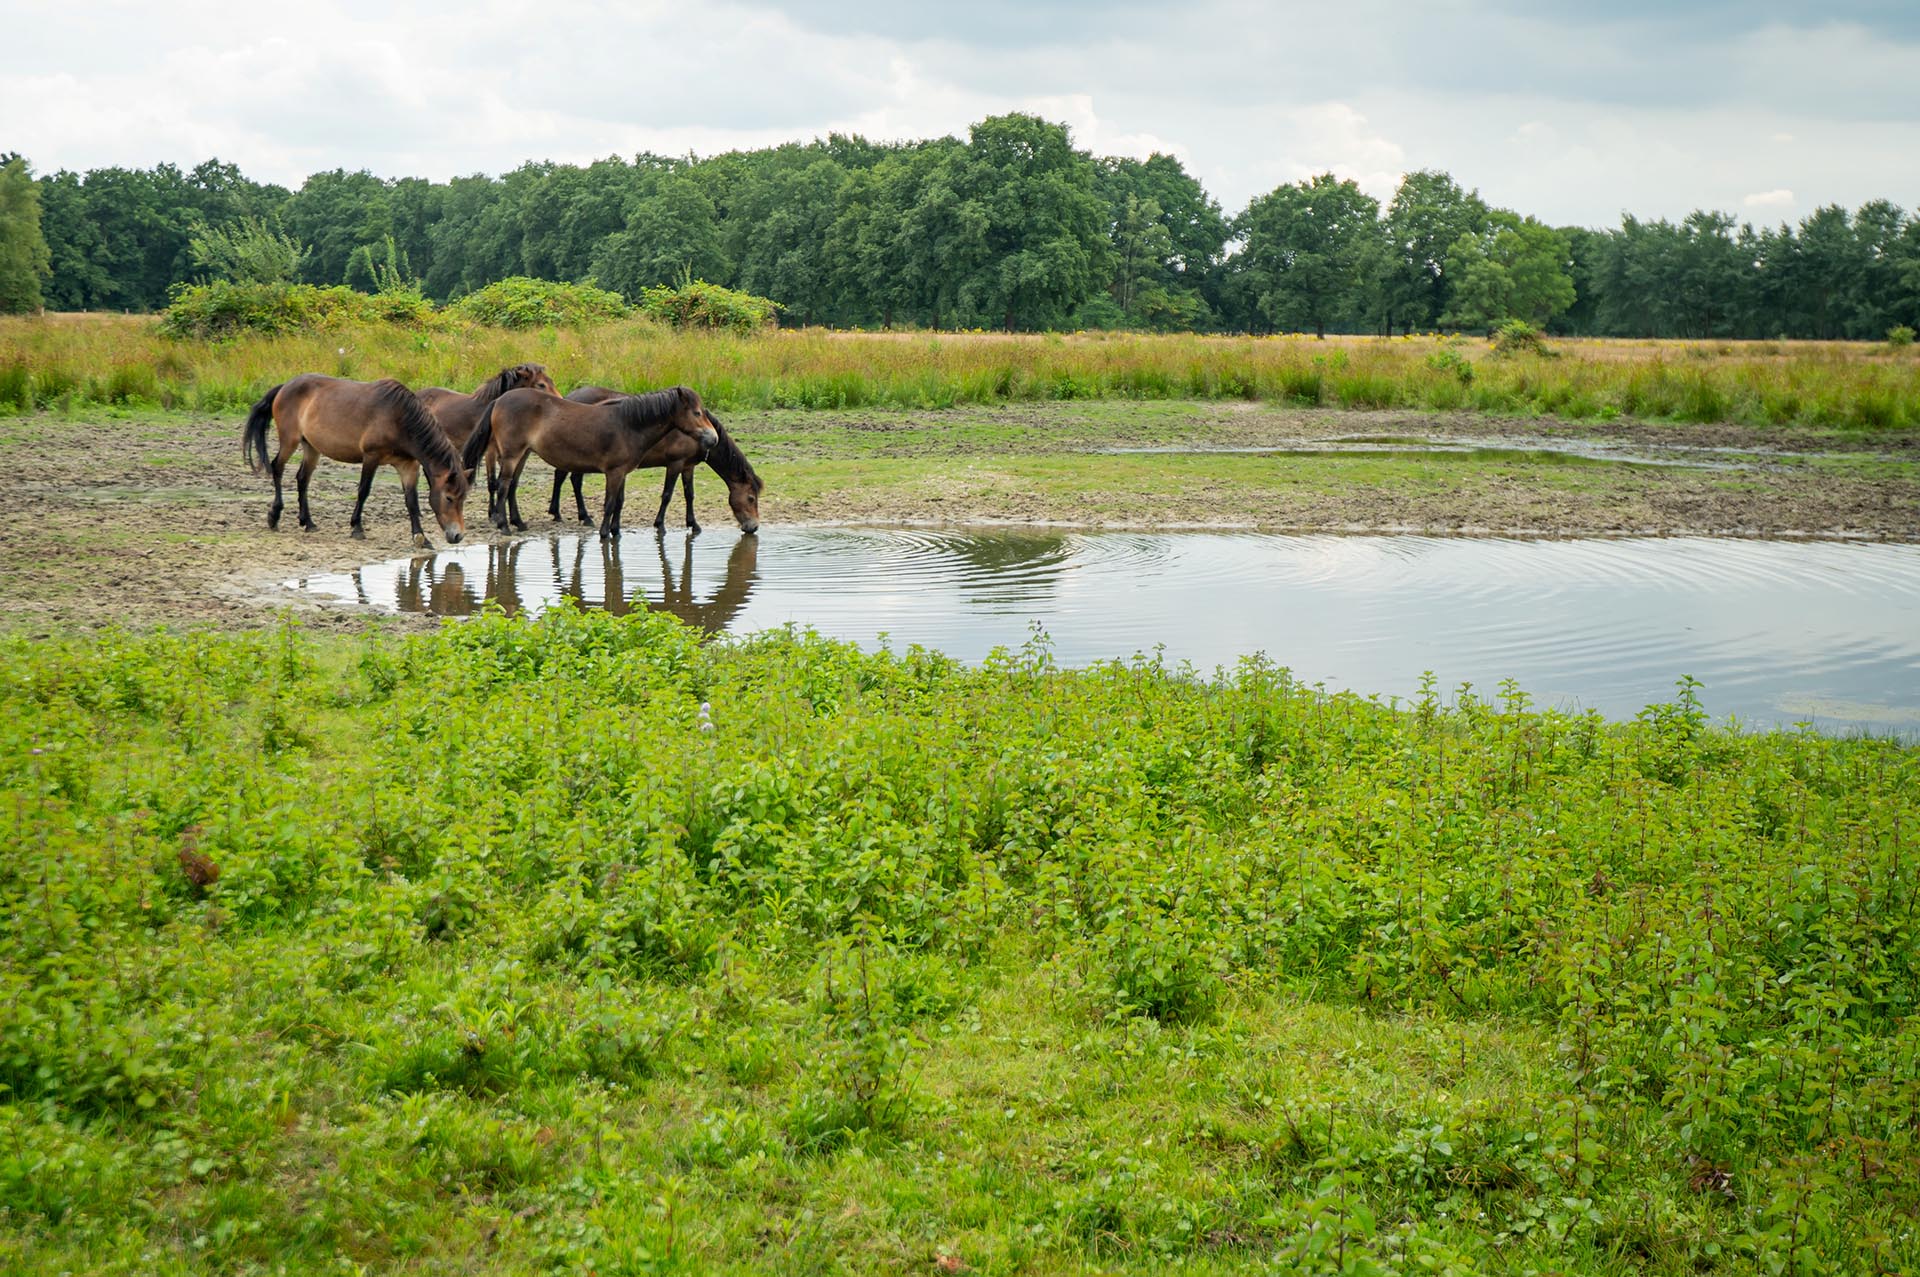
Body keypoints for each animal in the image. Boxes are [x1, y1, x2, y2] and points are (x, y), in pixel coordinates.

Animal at [243, 374, 470, 546]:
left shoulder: (407, 465)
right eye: (449, 498)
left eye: (463, 499)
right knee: (277, 468)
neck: (399, 419)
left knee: (302, 479)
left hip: (312, 447)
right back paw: (274, 516)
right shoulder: (371, 457)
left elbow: (411, 501)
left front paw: (420, 537)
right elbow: (363, 491)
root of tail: (285, 386)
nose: (457, 536)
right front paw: (357, 528)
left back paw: (308, 522)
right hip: (290, 440)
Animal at [461, 386, 720, 541]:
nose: (713, 438)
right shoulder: (614, 473)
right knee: (504, 485)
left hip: (523, 454)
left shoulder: (623, 472)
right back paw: (503, 525)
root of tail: (499, 400)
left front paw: (616, 531)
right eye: (697, 413)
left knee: (512, 485)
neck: (629, 424)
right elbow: (609, 503)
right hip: (512, 454)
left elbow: (619, 502)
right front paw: (605, 532)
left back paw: (519, 523)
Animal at [550, 385, 762, 535]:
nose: (753, 527)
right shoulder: (675, 463)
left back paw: (571, 514)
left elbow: (690, 495)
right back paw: (570, 514)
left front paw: (693, 524)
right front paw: (660, 524)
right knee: (567, 478)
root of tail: (570, 396)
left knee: (569, 478)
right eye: (751, 498)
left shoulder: (688, 466)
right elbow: (667, 495)